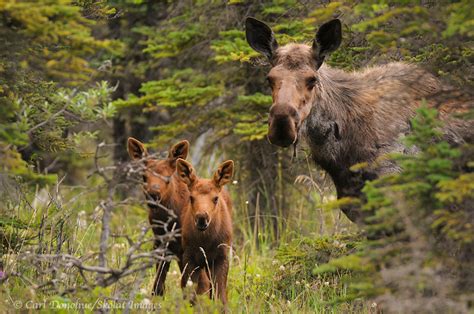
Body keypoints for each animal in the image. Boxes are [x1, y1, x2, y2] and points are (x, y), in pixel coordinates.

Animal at [174, 158, 233, 306]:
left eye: (216, 198)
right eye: (191, 197)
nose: (202, 218)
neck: (206, 242)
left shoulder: (221, 257)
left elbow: (221, 295)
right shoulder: (189, 257)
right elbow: (194, 293)